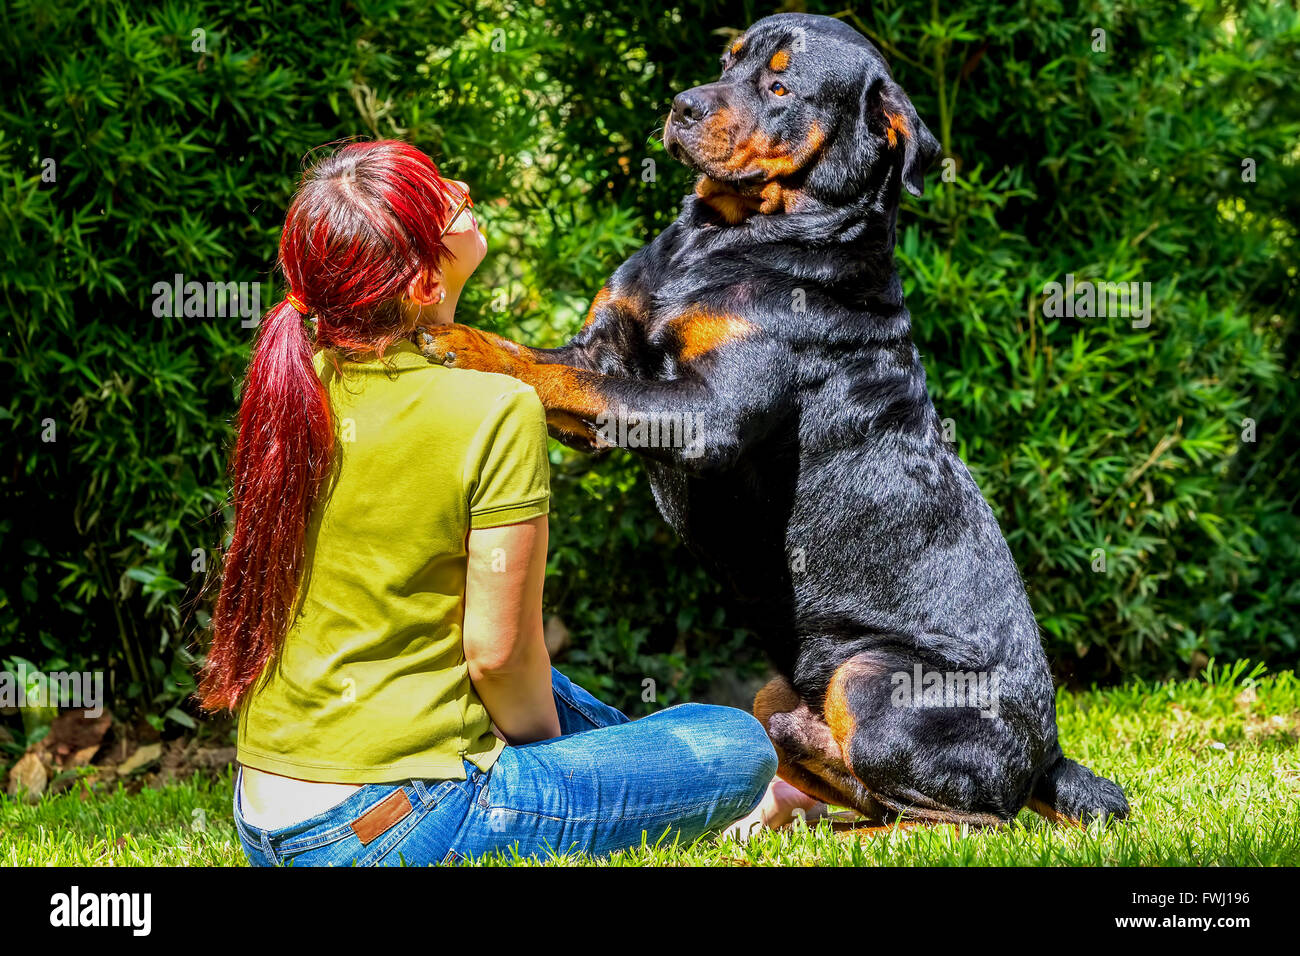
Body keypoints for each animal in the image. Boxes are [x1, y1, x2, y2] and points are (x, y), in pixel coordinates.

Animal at [418, 11, 1128, 827]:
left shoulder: (703, 414)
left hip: (871, 677)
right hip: (774, 693)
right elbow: (554, 365)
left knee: (963, 818)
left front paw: (454, 341)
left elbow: (561, 376)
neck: (722, 240)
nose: (683, 105)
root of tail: (1051, 758)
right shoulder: (606, 349)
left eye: (781, 87)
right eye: (728, 60)